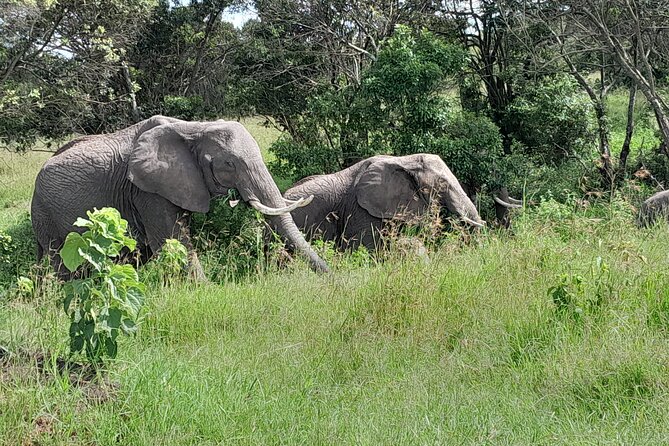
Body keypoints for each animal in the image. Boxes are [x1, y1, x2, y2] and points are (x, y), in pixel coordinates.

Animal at [31, 115, 328, 278]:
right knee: (63, 265)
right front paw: (207, 291)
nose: (331, 276)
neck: (194, 128)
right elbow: (172, 240)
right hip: (47, 214)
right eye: (229, 164)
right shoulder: (146, 189)